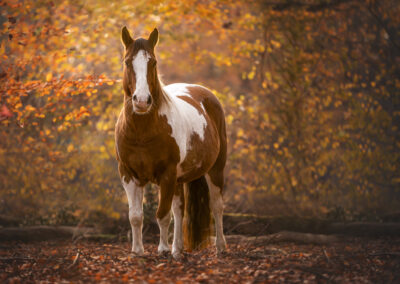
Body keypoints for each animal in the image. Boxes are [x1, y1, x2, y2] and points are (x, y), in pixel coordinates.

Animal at [115, 27, 228, 260]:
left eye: (153, 62)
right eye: (127, 62)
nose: (141, 101)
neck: (142, 132)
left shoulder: (166, 174)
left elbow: (162, 214)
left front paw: (163, 249)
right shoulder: (128, 174)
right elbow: (136, 216)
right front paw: (138, 251)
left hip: (215, 169)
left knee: (217, 205)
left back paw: (220, 247)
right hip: (178, 180)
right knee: (180, 209)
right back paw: (178, 249)